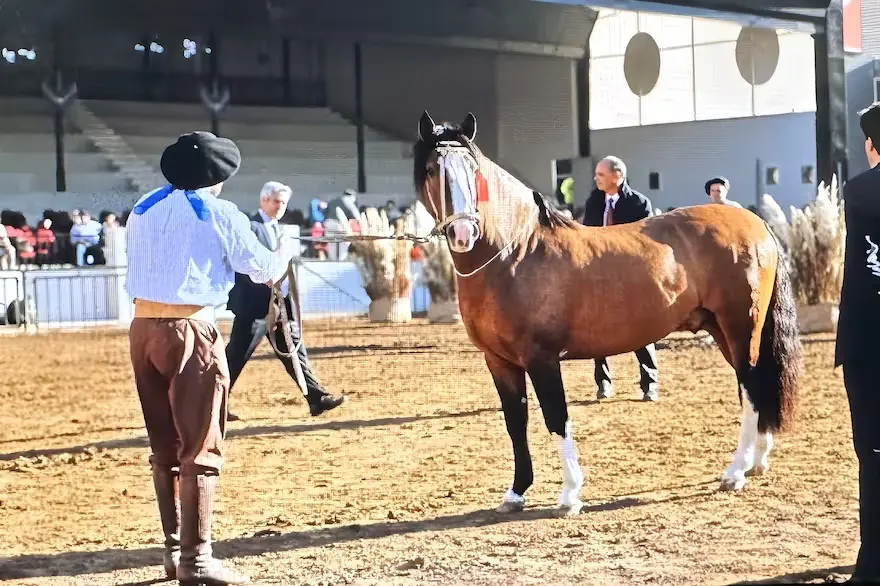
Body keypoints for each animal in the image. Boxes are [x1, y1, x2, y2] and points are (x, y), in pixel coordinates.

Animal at [413, 110, 803, 516]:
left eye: (473, 170)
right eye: (431, 169)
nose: (463, 232)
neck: (514, 254)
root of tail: (756, 225)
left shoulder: (541, 359)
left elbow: (556, 417)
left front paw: (570, 495)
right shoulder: (499, 361)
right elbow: (515, 421)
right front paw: (516, 493)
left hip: (741, 326)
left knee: (751, 385)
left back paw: (736, 472)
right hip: (723, 330)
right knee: (753, 384)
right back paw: (757, 460)